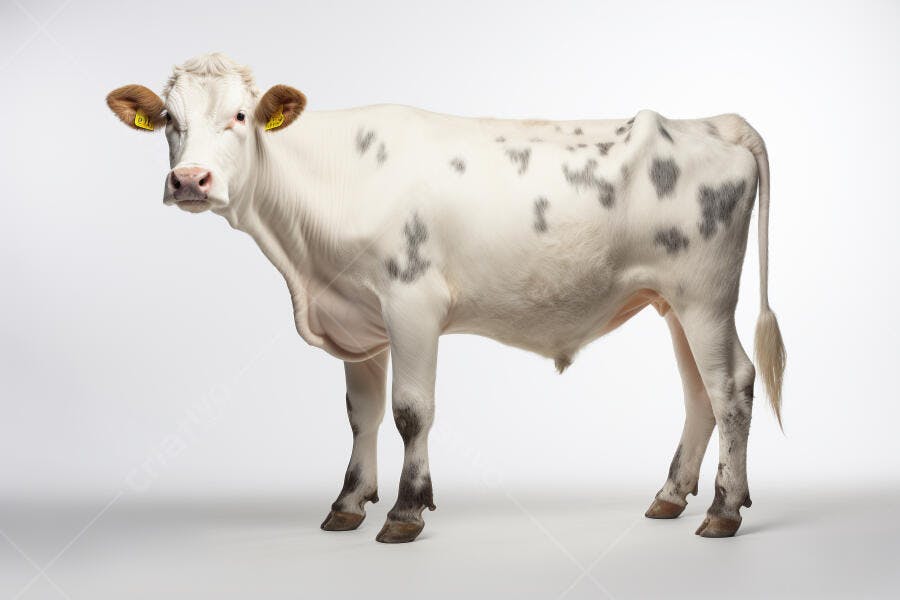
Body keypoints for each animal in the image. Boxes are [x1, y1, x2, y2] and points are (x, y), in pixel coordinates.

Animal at [106, 53, 785, 543]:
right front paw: (348, 503)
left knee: (732, 385)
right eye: (168, 120)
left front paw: (406, 512)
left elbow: (411, 411)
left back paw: (724, 510)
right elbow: (362, 414)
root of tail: (710, 123)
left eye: (242, 117)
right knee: (699, 391)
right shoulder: (359, 318)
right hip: (672, 302)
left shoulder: (412, 302)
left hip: (705, 294)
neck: (305, 264)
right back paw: (670, 497)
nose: (189, 180)